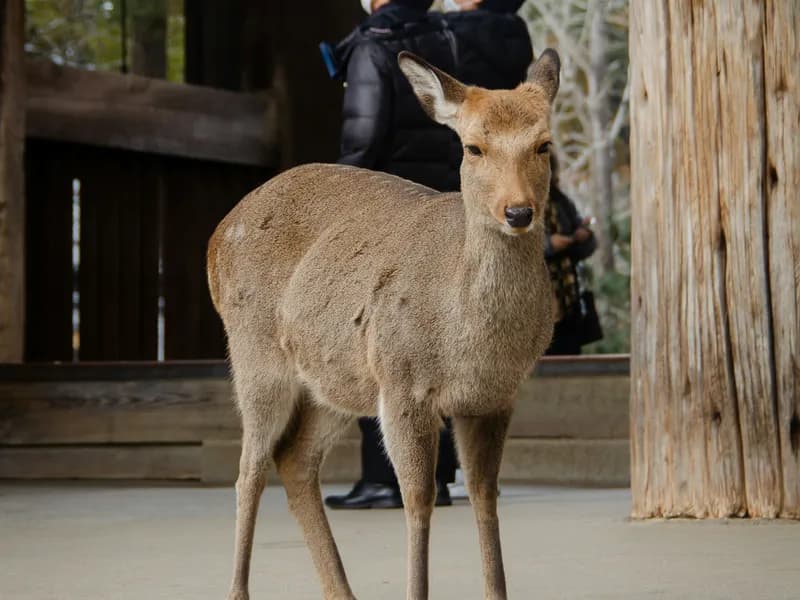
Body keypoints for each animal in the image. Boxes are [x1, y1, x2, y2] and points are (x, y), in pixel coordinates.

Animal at [207, 48, 560, 600]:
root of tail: (215, 239)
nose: (518, 211)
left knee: (295, 460)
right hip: (255, 355)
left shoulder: (493, 399)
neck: (468, 340)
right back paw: (240, 591)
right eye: (473, 147)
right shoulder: (402, 385)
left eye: (544, 144)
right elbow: (417, 498)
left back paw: (341, 592)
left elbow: (484, 495)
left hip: (336, 382)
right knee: (250, 471)